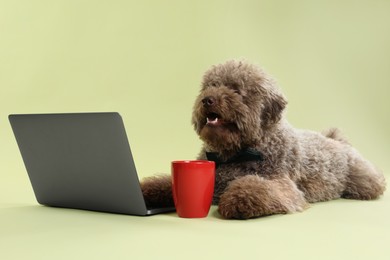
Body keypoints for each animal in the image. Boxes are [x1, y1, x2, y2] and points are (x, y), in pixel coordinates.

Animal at [139, 59, 384, 219]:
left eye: (236, 90)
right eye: (210, 86)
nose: (207, 100)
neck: (236, 153)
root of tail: (336, 139)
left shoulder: (284, 187)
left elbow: (255, 188)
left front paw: (236, 201)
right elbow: (164, 184)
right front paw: (146, 191)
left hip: (364, 180)